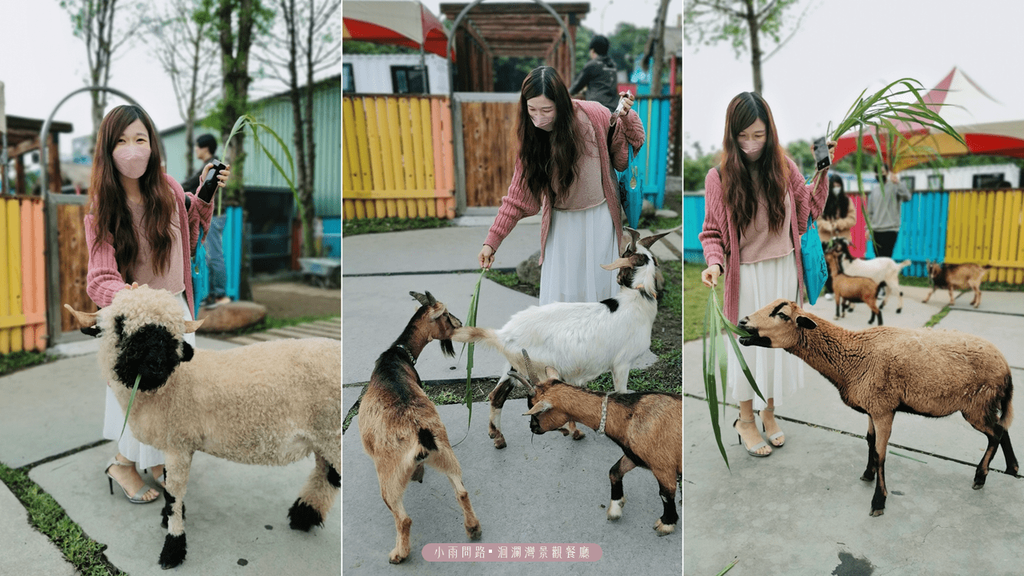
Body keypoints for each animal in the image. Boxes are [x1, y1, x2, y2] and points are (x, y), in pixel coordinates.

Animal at [66, 284, 342, 565]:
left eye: (173, 331)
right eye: (120, 324)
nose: (156, 363)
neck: (171, 385)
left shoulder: (178, 444)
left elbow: (173, 493)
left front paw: (173, 547)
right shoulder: (176, 444)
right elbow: (168, 484)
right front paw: (166, 520)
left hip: (332, 433)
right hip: (325, 435)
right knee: (326, 473)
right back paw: (304, 515)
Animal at [358, 291, 481, 561]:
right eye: (446, 315)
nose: (460, 323)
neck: (397, 356)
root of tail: (420, 435)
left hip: (389, 479)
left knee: (403, 519)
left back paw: (398, 554)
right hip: (446, 453)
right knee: (462, 492)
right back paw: (473, 528)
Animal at [509, 350, 684, 532]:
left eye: (536, 411)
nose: (533, 428)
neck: (631, 416)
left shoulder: (663, 467)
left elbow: (666, 494)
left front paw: (666, 524)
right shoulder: (633, 456)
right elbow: (614, 471)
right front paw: (615, 510)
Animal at [737, 301, 1015, 516]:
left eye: (782, 314)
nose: (742, 322)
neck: (853, 356)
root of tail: (1006, 367)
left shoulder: (883, 409)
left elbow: (881, 453)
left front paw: (878, 501)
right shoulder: (872, 408)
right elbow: (870, 442)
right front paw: (867, 475)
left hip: (977, 403)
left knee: (996, 433)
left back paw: (980, 477)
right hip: (986, 403)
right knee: (1002, 427)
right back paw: (1012, 468)